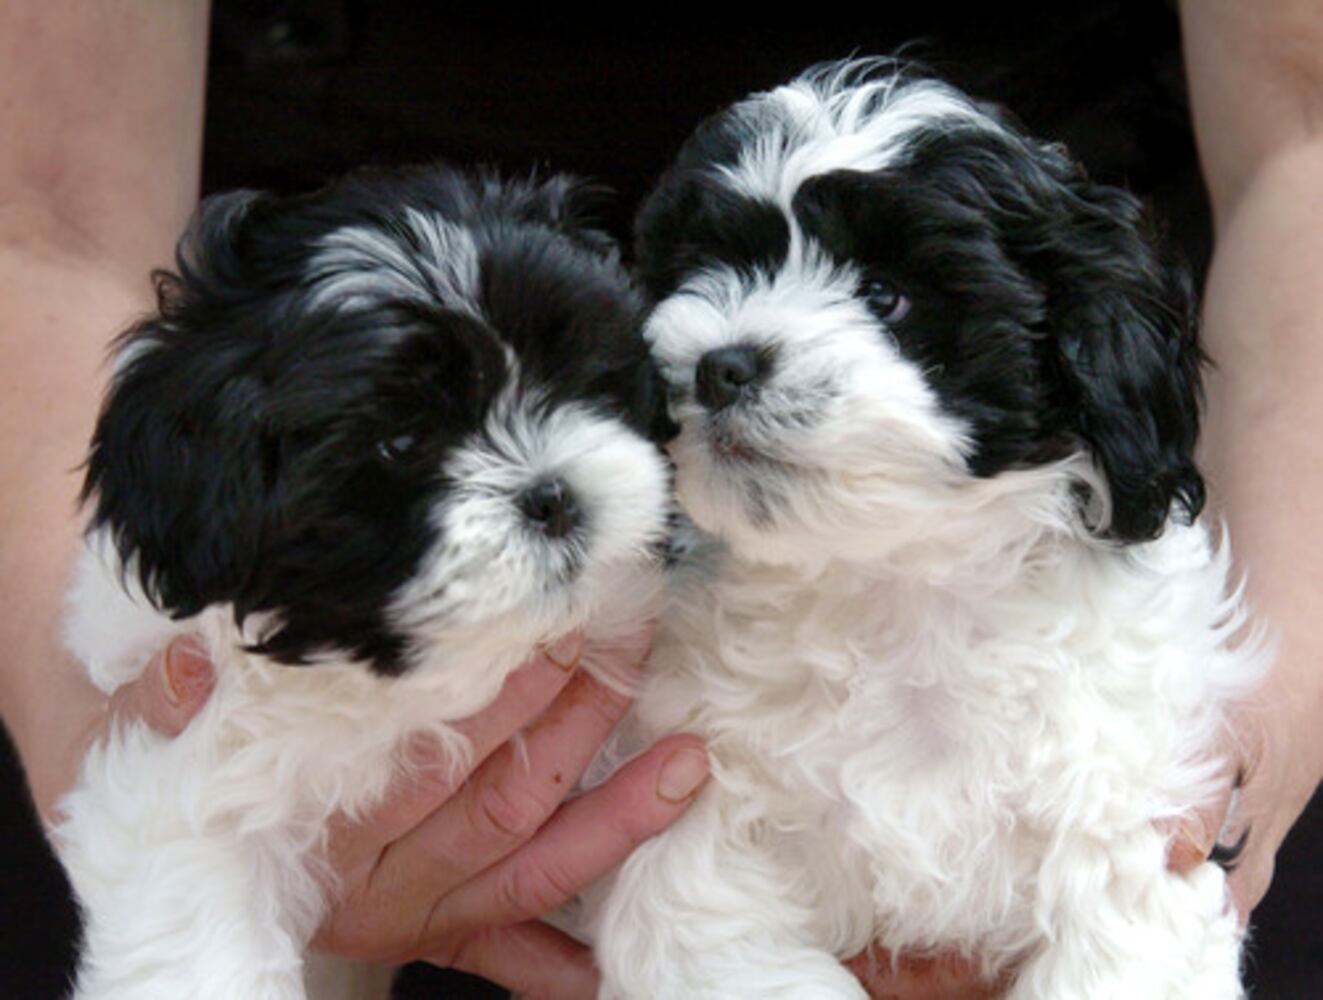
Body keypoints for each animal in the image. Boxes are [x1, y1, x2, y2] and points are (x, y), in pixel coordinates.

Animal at [585, 61, 1266, 999]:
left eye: (885, 293)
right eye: (706, 268)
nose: (721, 366)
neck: (898, 580)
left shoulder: (1127, 815)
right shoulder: (696, 806)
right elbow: (701, 932)